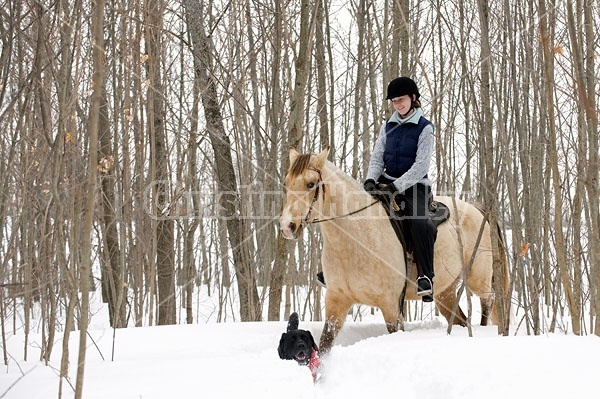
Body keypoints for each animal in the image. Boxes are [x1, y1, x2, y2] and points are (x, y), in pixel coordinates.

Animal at [278, 147, 508, 354]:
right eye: (286, 183)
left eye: (310, 184)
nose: (287, 226)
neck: (356, 237)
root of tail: (478, 210)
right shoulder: (337, 301)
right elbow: (325, 343)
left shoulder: (391, 306)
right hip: (445, 293)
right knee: (460, 318)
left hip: (478, 280)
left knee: (488, 303)